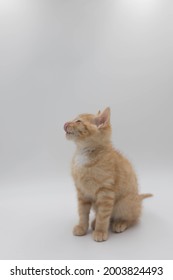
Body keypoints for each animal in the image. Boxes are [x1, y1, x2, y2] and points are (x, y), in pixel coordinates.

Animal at [63, 107, 151, 241]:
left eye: (78, 121)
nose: (65, 124)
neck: (84, 153)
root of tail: (137, 199)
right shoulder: (82, 192)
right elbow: (82, 212)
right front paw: (82, 227)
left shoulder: (106, 192)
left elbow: (103, 216)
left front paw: (100, 232)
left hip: (123, 204)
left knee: (133, 218)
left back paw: (120, 223)